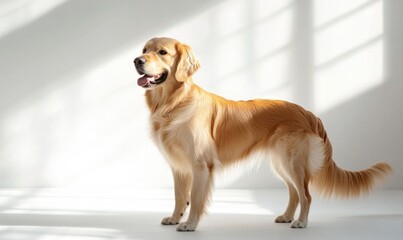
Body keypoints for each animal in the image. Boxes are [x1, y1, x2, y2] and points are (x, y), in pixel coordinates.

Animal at [134, 37, 392, 231]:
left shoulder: (200, 165)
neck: (173, 103)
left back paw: (301, 222)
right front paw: (174, 217)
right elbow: (180, 196)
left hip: (292, 161)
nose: (137, 60)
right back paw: (287, 216)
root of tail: (308, 113)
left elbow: (195, 199)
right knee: (295, 193)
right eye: (144, 50)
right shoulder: (178, 166)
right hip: (281, 162)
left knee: (306, 195)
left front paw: (189, 224)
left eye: (162, 52)